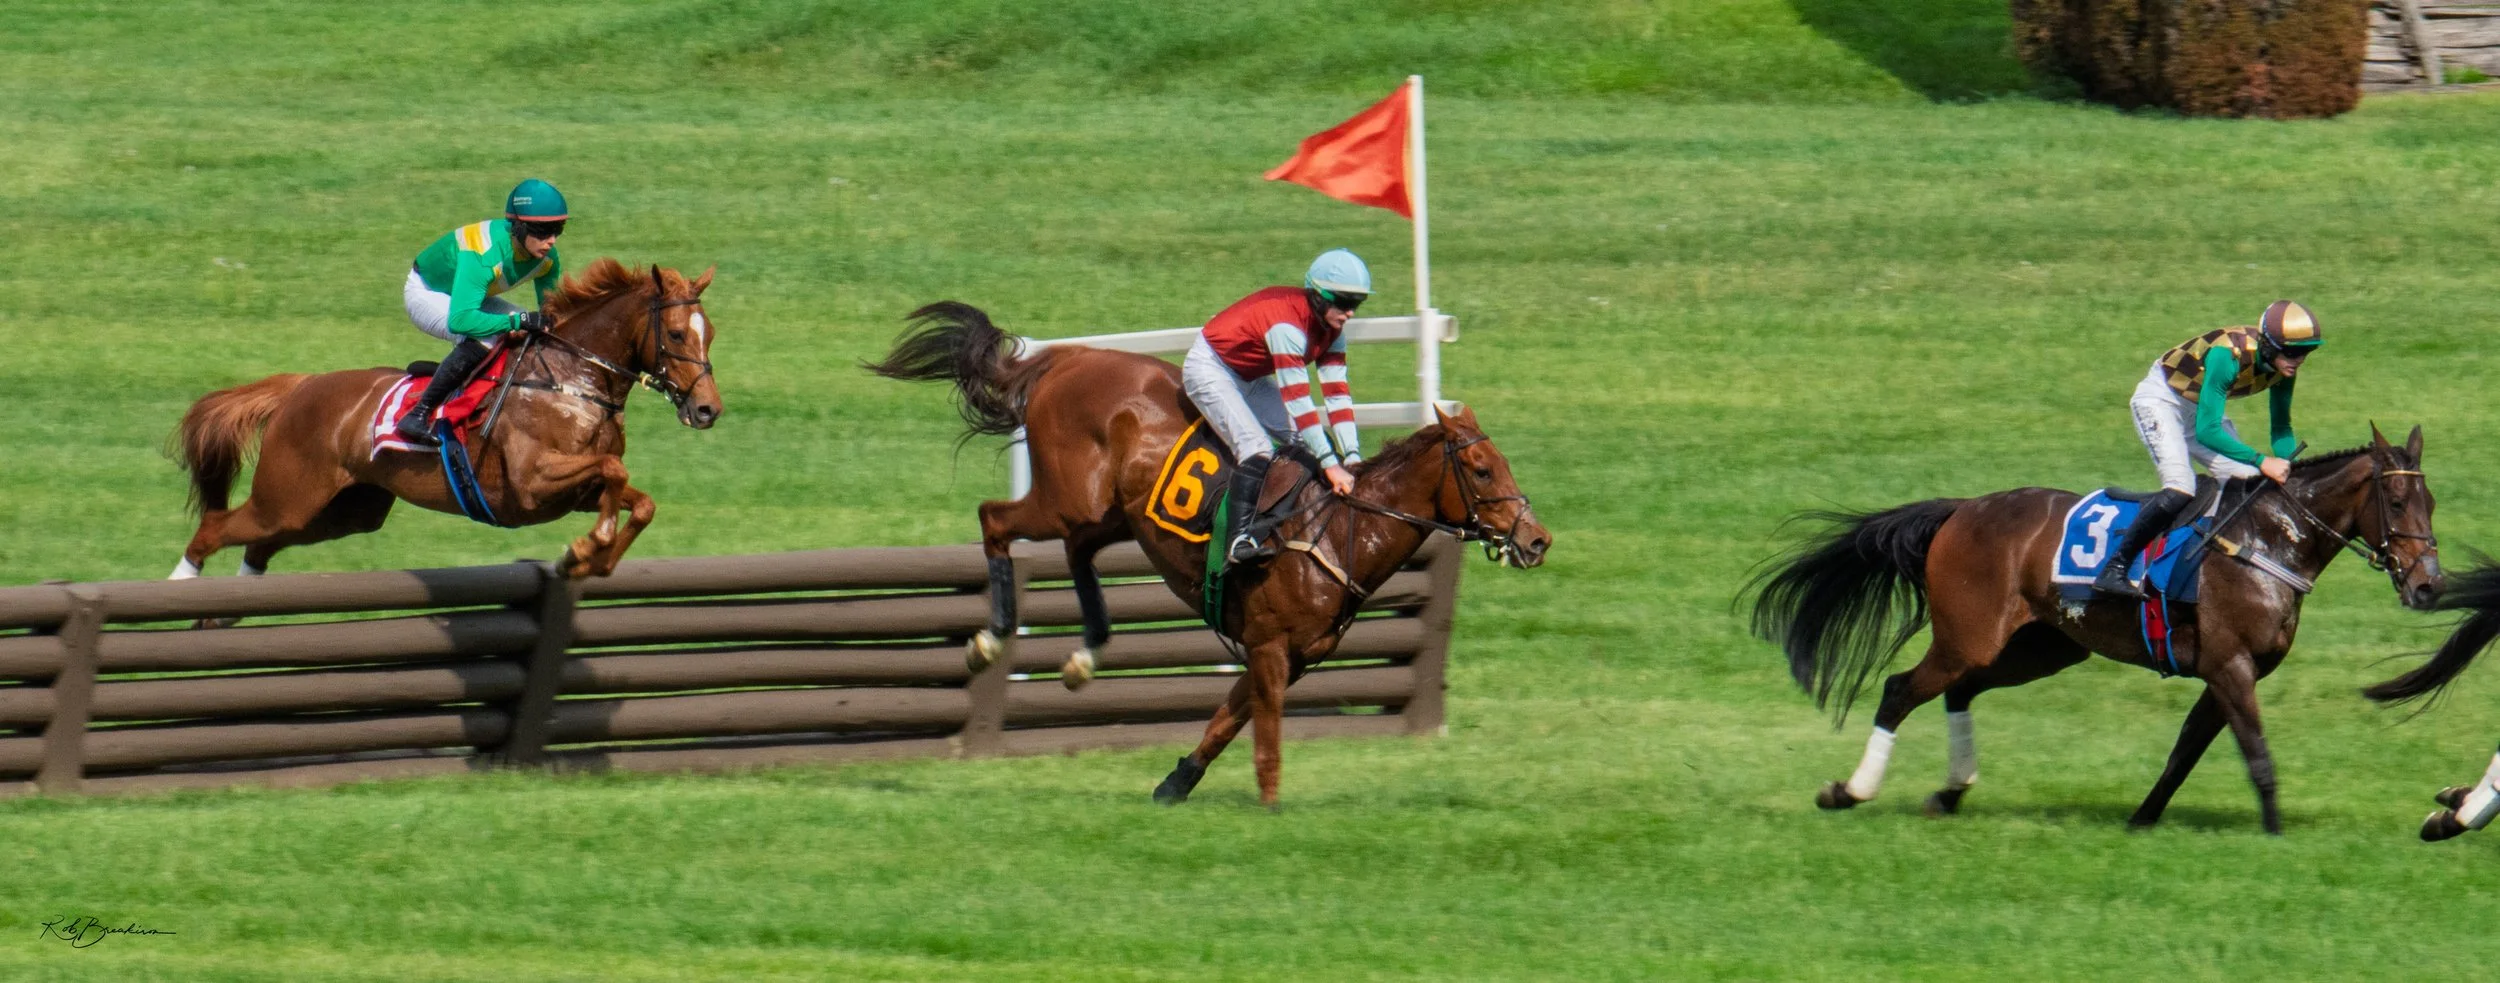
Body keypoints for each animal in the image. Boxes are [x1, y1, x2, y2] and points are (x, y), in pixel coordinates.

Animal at [170, 258, 723, 583]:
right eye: (677, 334)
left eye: (710, 333)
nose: (707, 409)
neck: (571, 381)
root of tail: (301, 386)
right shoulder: (532, 483)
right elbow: (614, 470)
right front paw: (591, 544)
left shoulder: (574, 493)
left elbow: (638, 499)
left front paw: (590, 557)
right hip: (287, 497)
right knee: (216, 528)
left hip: (342, 511)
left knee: (261, 547)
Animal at [867, 302, 1551, 808]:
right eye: (1483, 470)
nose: (1536, 539)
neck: (1337, 531)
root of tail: (1070, 358)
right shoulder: (1271, 648)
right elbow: (1266, 736)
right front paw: (1270, 807)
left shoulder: (1288, 656)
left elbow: (1226, 720)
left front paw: (1174, 785)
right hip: (1067, 499)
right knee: (995, 520)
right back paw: (991, 637)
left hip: (1108, 514)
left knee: (1077, 553)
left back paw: (1086, 654)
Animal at [1748, 426, 2441, 834]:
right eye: (2397, 504)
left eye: (2432, 504)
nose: (2428, 586)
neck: (2266, 538)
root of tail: (1961, 510)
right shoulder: (2230, 665)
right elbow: (2256, 753)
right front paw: (2274, 833)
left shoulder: (2228, 671)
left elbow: (2185, 751)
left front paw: (2141, 820)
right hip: (1969, 637)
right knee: (1900, 690)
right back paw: (1851, 791)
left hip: (2041, 648)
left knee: (1959, 692)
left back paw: (1949, 793)